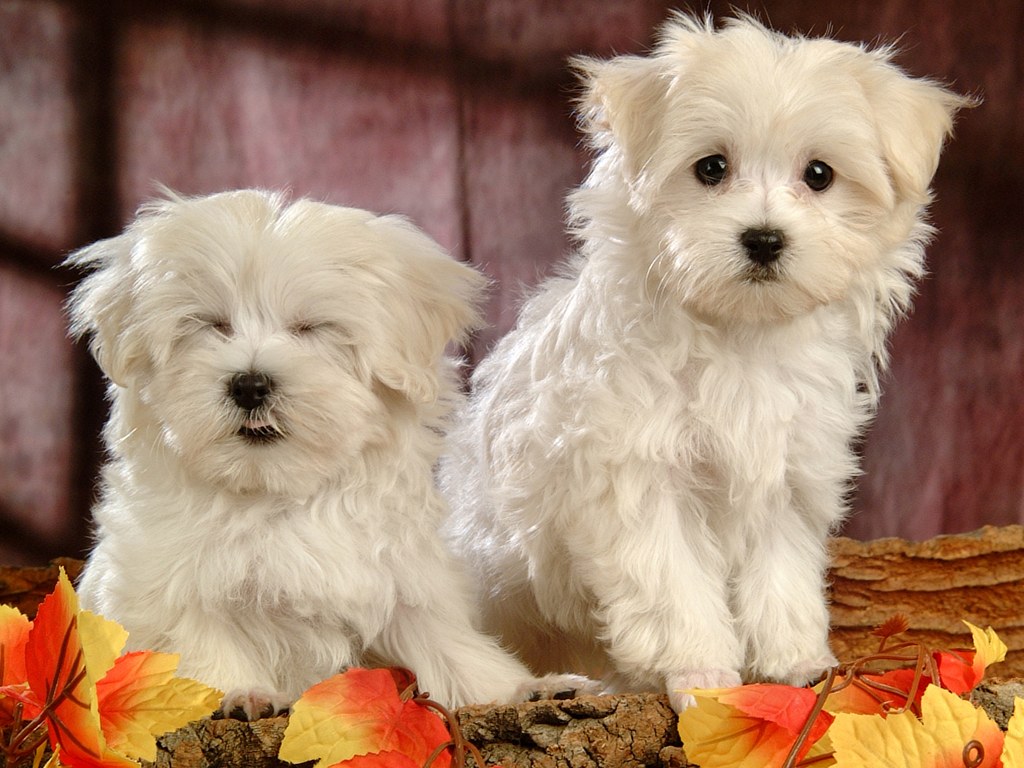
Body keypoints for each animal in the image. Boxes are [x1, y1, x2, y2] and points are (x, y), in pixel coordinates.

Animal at [66, 189, 593, 720]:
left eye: (310, 328)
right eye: (209, 324)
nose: (249, 385)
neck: (274, 495)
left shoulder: (401, 582)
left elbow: (452, 650)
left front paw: (524, 688)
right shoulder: (165, 591)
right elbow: (202, 649)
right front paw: (244, 693)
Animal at [440, 15, 966, 716]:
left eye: (819, 175)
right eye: (711, 168)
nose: (764, 239)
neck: (741, 335)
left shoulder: (786, 474)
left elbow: (781, 573)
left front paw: (796, 664)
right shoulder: (638, 479)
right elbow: (675, 586)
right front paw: (703, 676)